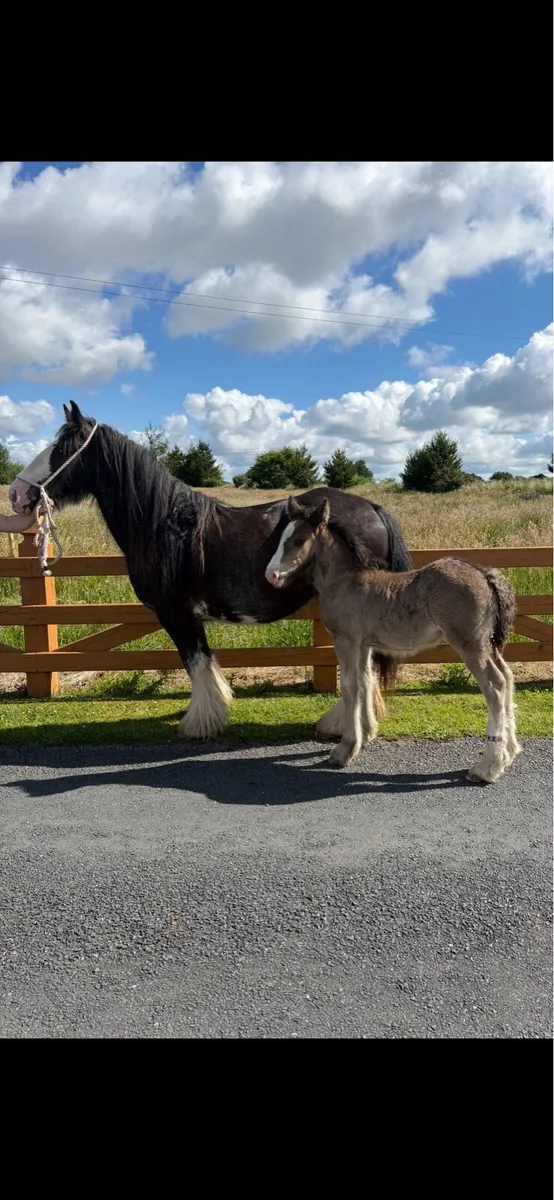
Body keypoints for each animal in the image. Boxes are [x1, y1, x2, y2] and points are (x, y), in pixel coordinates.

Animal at [8, 401, 413, 741]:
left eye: (62, 449)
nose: (16, 493)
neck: (166, 524)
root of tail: (373, 509)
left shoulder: (176, 613)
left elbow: (196, 663)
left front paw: (199, 723)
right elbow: (200, 663)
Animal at [265, 495, 520, 783]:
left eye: (299, 540)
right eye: (281, 538)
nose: (271, 575)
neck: (344, 581)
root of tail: (484, 573)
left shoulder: (346, 641)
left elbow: (351, 686)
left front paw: (345, 749)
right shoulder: (364, 644)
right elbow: (366, 681)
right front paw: (365, 735)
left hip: (470, 643)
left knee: (495, 685)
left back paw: (487, 766)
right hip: (488, 644)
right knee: (508, 677)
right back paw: (509, 753)